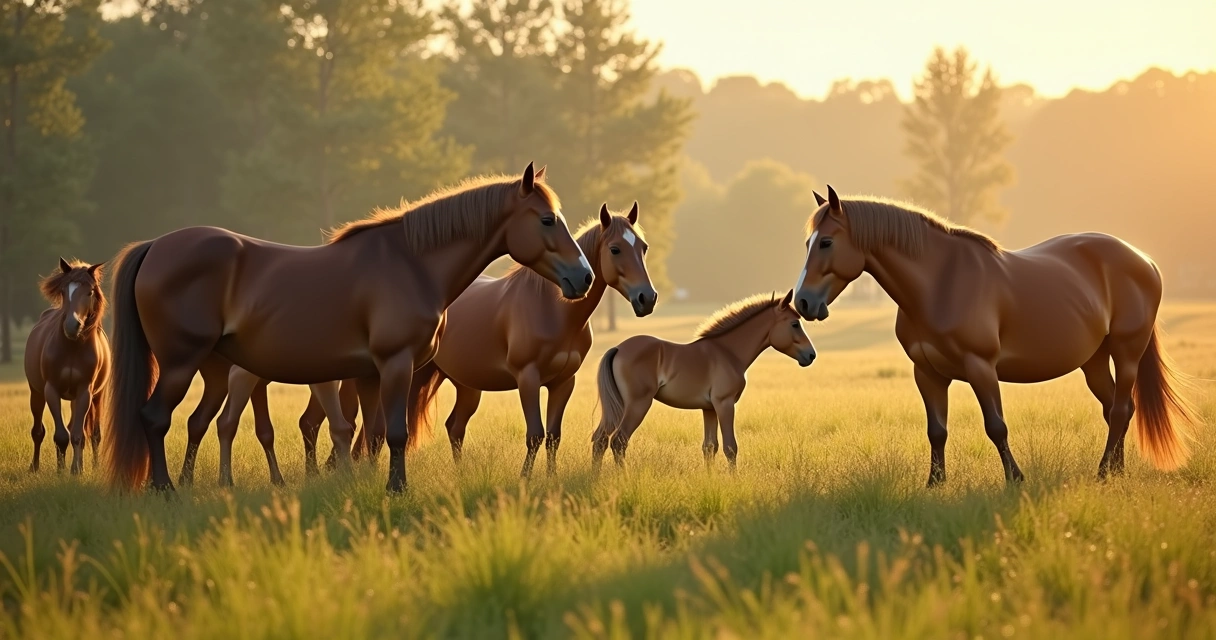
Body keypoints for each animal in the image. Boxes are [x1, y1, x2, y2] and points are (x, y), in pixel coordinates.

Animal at [25, 259, 111, 474]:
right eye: (64, 291)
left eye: (89, 292)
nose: (72, 326)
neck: (73, 347)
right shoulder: (51, 389)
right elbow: (61, 435)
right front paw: (61, 470)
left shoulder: (84, 392)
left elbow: (78, 434)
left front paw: (76, 470)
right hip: (36, 393)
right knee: (38, 431)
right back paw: (34, 467)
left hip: (96, 397)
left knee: (93, 434)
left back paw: (93, 465)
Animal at [104, 162, 594, 493]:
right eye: (547, 219)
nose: (584, 277)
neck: (410, 264)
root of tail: (155, 246)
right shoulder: (396, 365)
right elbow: (394, 432)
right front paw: (397, 490)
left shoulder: (369, 374)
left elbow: (372, 436)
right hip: (180, 363)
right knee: (155, 418)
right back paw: (165, 489)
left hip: (210, 370)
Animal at [381, 201, 657, 478]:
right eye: (615, 249)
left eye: (643, 247)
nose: (647, 298)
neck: (553, 309)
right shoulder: (528, 378)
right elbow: (535, 435)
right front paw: (525, 478)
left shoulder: (564, 382)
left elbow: (553, 436)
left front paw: (551, 478)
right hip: (416, 375)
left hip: (466, 384)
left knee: (455, 427)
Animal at [591, 290, 815, 471]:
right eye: (794, 324)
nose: (811, 355)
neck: (727, 352)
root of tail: (618, 348)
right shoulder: (724, 404)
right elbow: (730, 447)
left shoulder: (708, 408)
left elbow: (710, 447)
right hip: (637, 405)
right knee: (619, 441)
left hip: (617, 406)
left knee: (600, 440)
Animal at [793, 186, 1200, 486]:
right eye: (807, 243)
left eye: (826, 242)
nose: (803, 302)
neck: (940, 284)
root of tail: (1144, 260)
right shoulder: (927, 373)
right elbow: (936, 431)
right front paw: (934, 484)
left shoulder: (981, 367)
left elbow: (996, 426)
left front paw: (1015, 480)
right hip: (1094, 361)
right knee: (1117, 408)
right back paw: (1116, 471)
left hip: (1127, 351)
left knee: (1119, 409)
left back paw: (1103, 473)